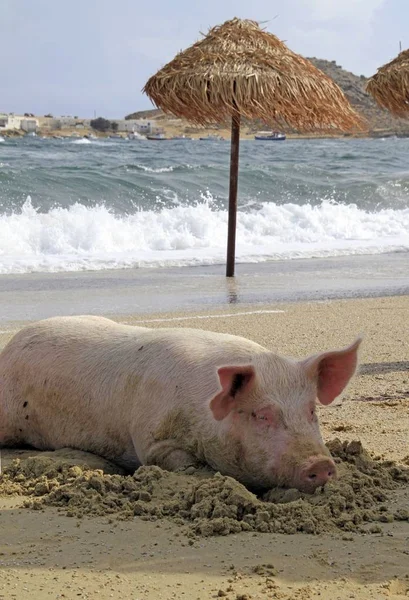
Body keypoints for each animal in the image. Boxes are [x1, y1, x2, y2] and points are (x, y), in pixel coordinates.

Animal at [0, 316, 360, 490]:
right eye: (261, 415)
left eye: (311, 411)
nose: (321, 464)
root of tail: (10, 345)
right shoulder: (151, 439)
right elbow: (177, 462)